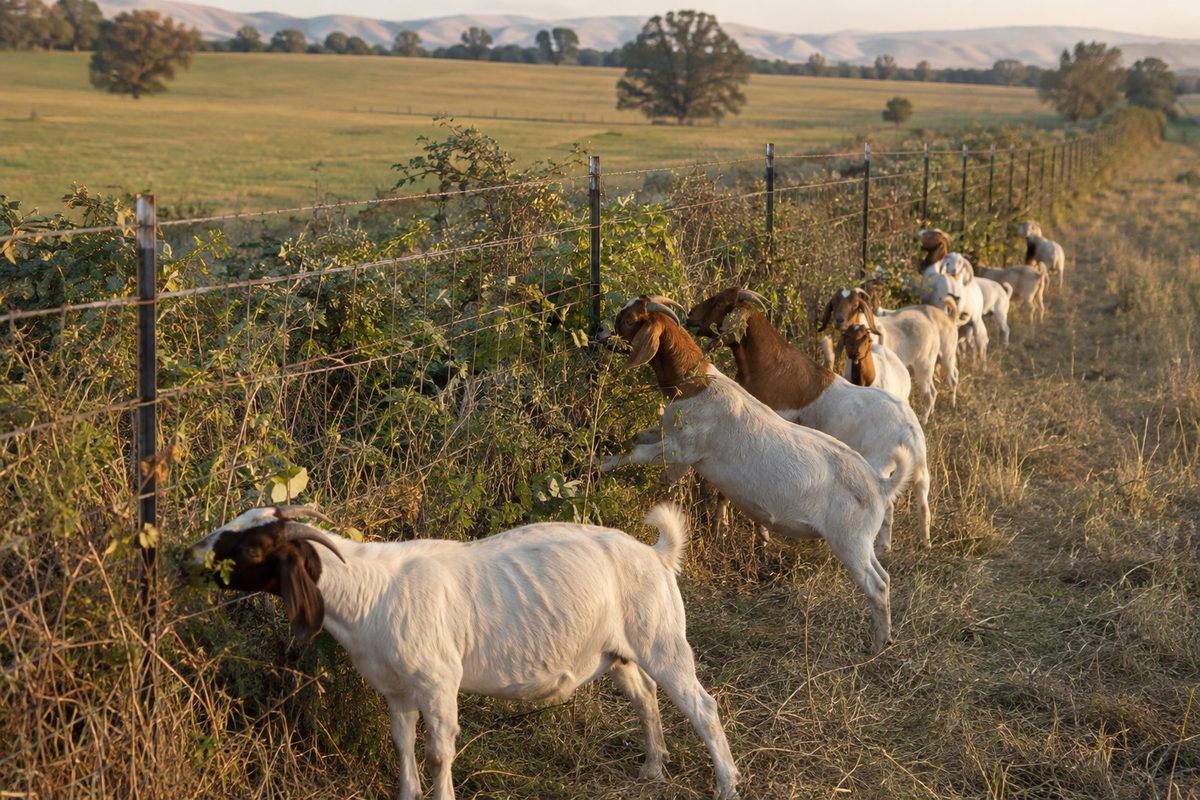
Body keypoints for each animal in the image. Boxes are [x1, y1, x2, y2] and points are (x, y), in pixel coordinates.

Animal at [186, 504, 740, 800]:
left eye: (251, 548)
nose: (188, 555)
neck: (368, 590)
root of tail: (657, 554)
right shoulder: (396, 690)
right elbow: (403, 745)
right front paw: (407, 793)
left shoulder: (438, 683)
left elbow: (438, 751)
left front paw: (441, 793)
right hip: (619, 652)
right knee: (645, 696)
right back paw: (652, 768)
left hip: (663, 639)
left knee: (703, 707)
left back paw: (726, 784)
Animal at [598, 296, 906, 652]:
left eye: (628, 317)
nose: (600, 330)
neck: (695, 385)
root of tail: (879, 485)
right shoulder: (667, 437)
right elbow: (638, 438)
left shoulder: (680, 450)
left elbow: (634, 455)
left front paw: (594, 463)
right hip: (862, 542)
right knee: (883, 577)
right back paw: (883, 636)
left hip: (850, 541)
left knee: (875, 585)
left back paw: (878, 644)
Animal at [689, 288, 931, 554]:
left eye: (720, 302)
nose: (691, 315)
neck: (771, 366)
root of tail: (909, 429)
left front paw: (731, 532)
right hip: (918, 469)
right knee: (922, 501)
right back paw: (920, 542)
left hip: (880, 465)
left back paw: (881, 547)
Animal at [818, 285, 959, 423]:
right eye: (834, 303)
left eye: (855, 305)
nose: (839, 321)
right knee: (935, 390)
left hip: (934, 362)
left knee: (941, 386)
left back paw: (930, 417)